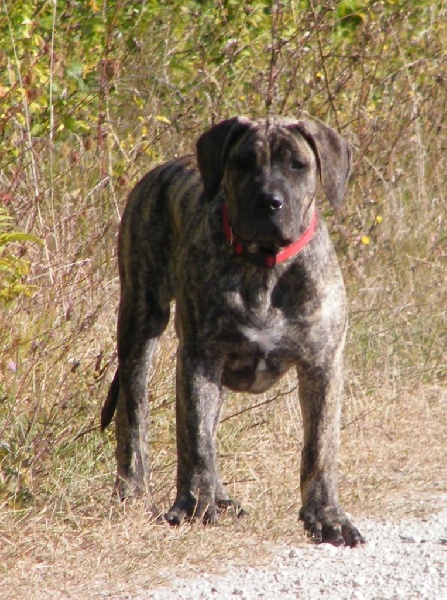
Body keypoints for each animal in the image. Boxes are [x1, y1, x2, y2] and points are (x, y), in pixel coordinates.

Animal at [102, 115, 368, 548]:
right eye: (243, 162)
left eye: (298, 165)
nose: (269, 201)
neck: (265, 265)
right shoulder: (198, 357)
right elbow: (195, 439)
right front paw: (192, 507)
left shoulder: (323, 365)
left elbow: (319, 449)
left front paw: (328, 518)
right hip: (140, 321)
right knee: (134, 413)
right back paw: (134, 490)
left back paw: (221, 498)